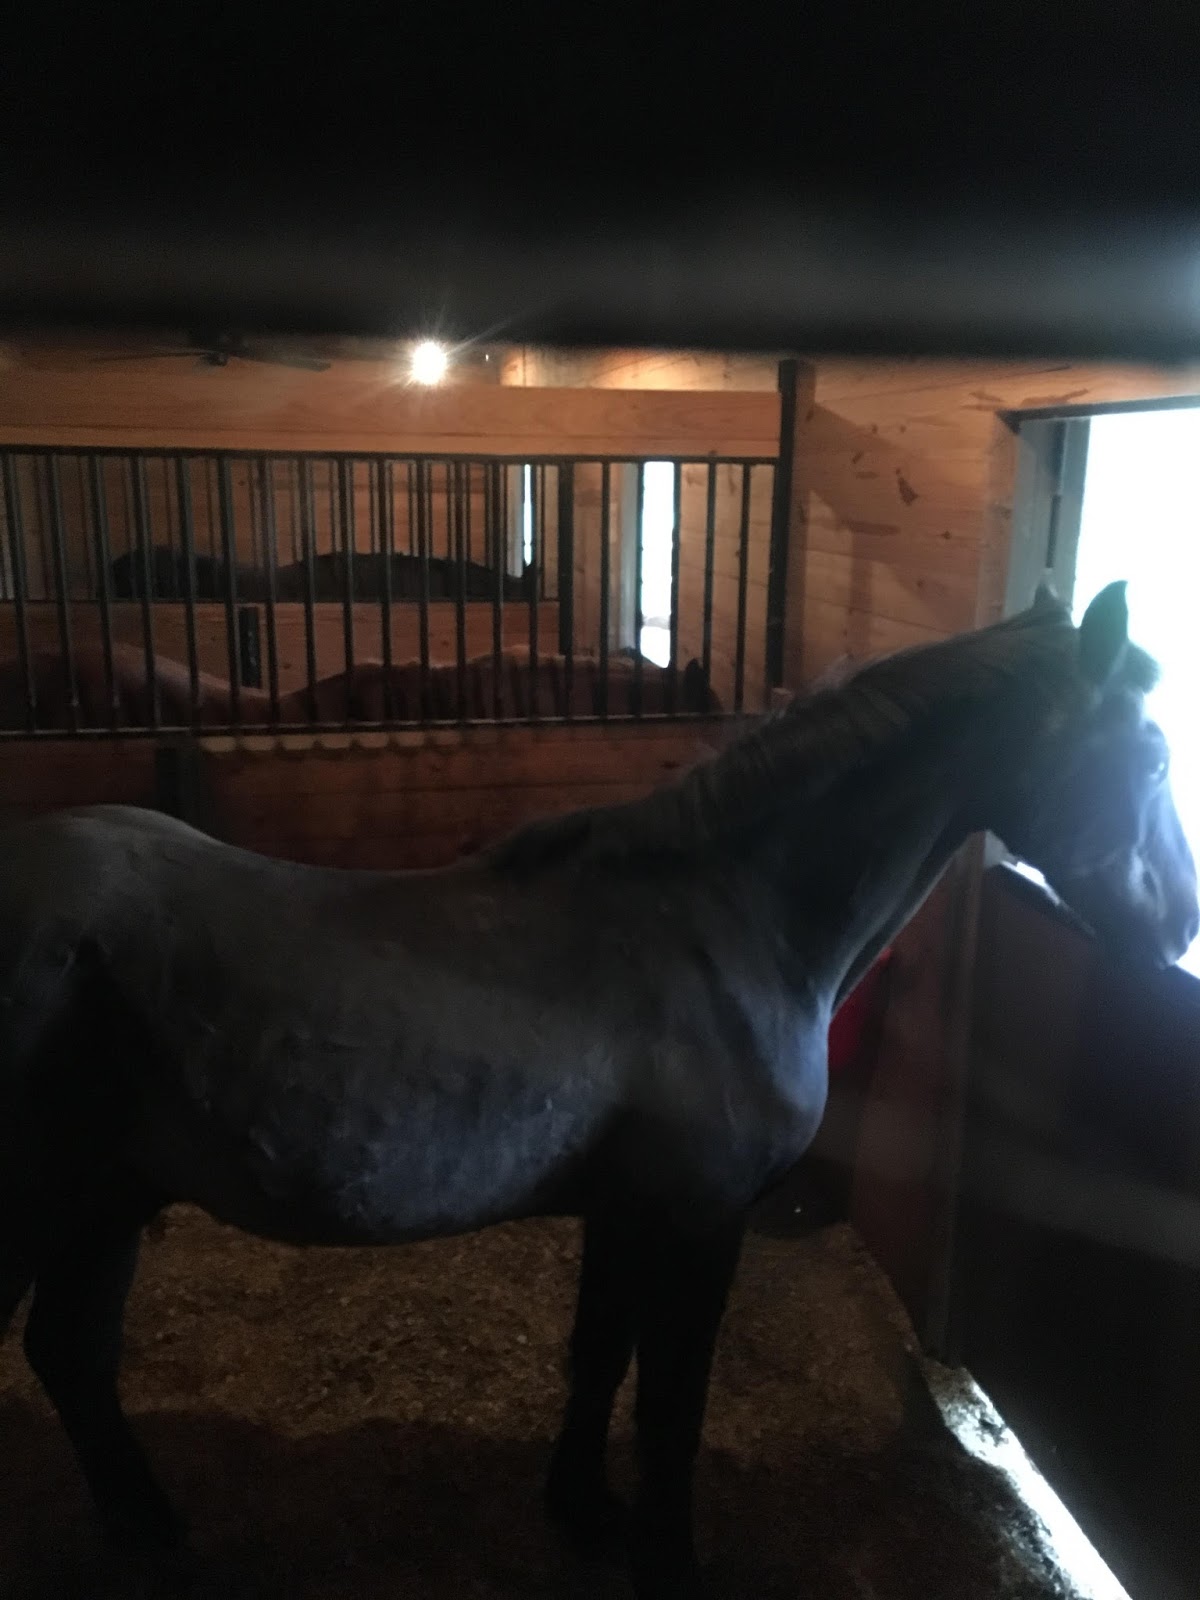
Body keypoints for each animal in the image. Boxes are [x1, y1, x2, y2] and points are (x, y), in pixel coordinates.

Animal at [0, 580, 1195, 1598]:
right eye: (1148, 752)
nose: (1177, 928)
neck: (724, 922)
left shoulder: (627, 1209)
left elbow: (599, 1357)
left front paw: (581, 1507)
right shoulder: (703, 1219)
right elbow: (669, 1402)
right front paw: (666, 1558)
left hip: (104, 1203)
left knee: (72, 1356)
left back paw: (151, 1528)